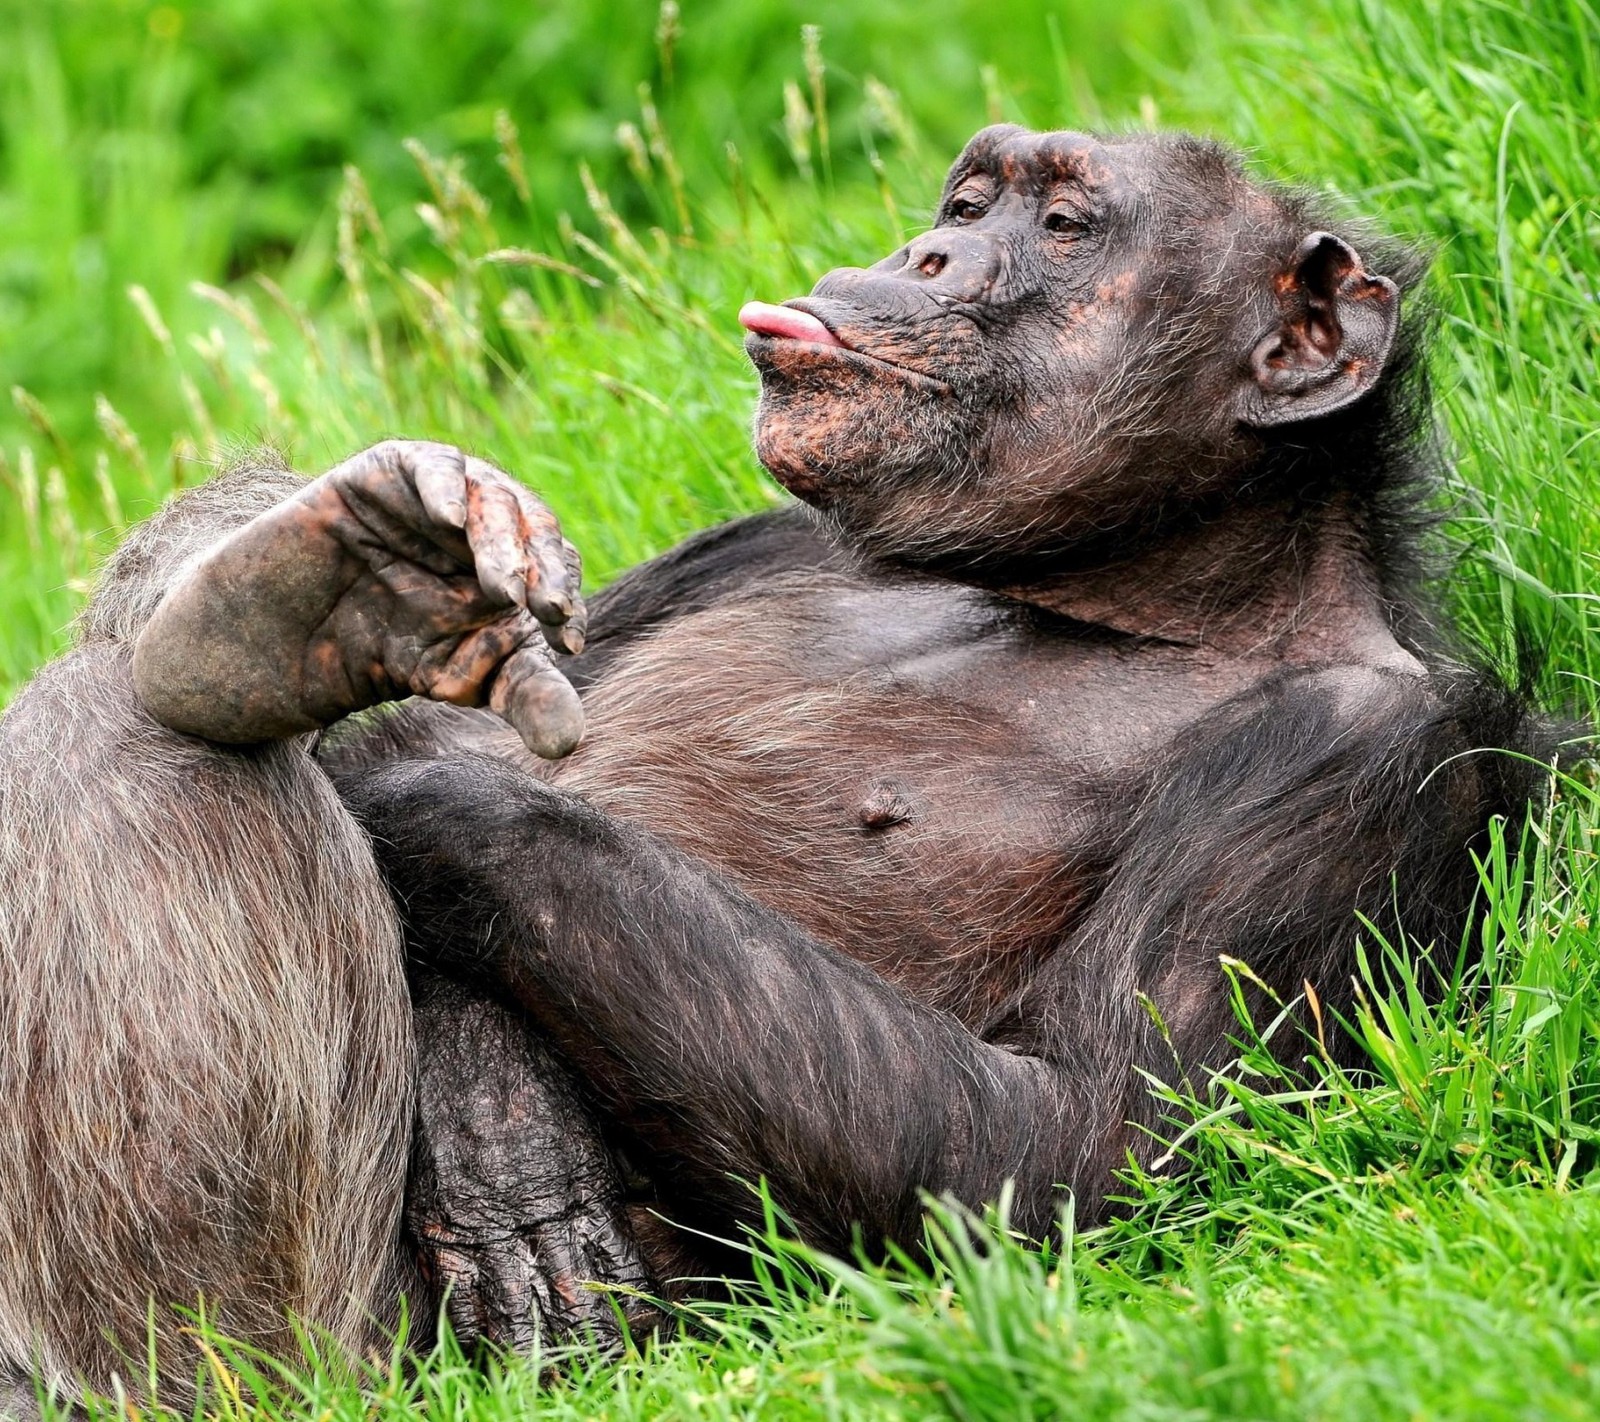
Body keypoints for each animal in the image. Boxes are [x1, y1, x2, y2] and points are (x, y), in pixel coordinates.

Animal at [0, 124, 1542, 1407]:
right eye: (969, 203)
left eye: (1061, 226)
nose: (928, 252)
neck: (1112, 596)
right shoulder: (754, 542)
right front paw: (368, 586)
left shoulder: (1353, 760)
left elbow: (1075, 1151)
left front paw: (429, 817)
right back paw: (296, 607)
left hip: (333, 1345)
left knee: (153, 756)